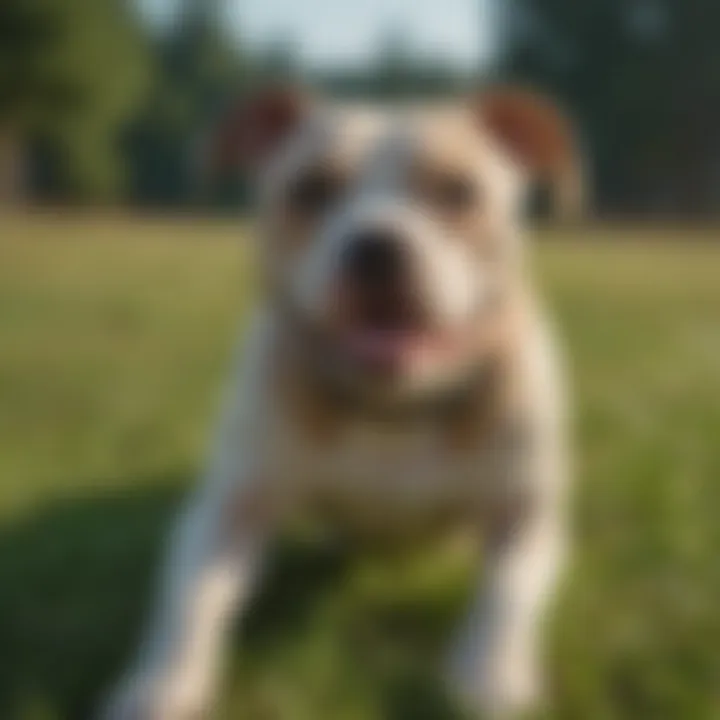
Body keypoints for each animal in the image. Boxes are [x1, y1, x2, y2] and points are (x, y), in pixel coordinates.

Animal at [101, 86, 584, 720]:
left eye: (458, 191)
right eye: (309, 188)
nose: (377, 245)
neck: (393, 404)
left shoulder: (523, 512)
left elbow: (508, 592)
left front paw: (489, 675)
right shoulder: (231, 507)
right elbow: (192, 597)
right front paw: (162, 683)